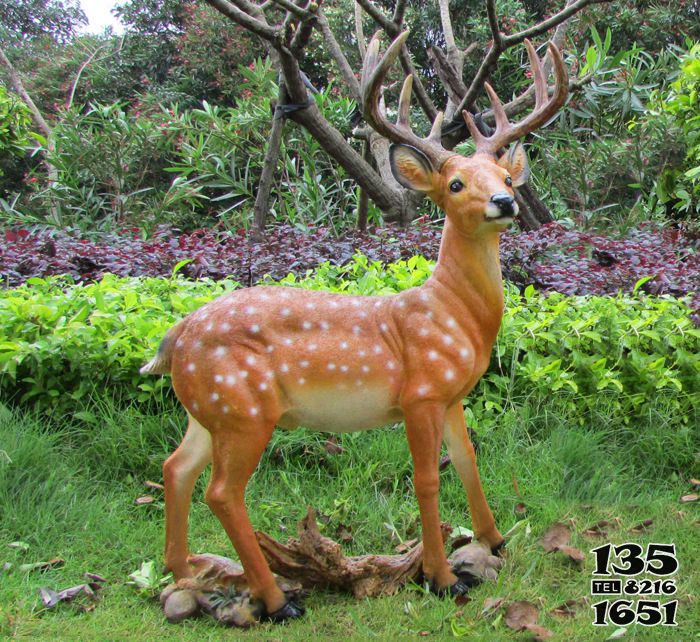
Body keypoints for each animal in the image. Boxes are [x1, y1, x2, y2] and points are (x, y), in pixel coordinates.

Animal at [141, 31, 568, 620]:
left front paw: (496, 540)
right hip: (244, 409)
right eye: (456, 184)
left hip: (210, 409)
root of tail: (175, 337)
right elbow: (427, 479)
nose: (505, 201)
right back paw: (276, 599)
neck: (453, 316)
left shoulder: (452, 394)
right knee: (222, 491)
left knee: (175, 467)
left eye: (506, 177)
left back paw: (185, 570)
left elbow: (468, 460)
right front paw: (441, 577)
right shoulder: (419, 393)